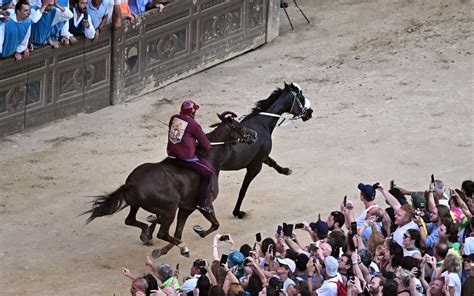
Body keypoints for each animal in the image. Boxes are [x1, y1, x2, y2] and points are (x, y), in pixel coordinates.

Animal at [83, 111, 258, 256]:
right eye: (240, 126)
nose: (255, 134)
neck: (209, 157)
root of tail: (132, 184)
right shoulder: (203, 205)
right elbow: (214, 225)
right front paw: (197, 233)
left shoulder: (186, 208)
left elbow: (178, 232)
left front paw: (160, 246)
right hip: (170, 209)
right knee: (162, 233)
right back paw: (182, 247)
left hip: (137, 204)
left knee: (131, 220)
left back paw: (147, 234)